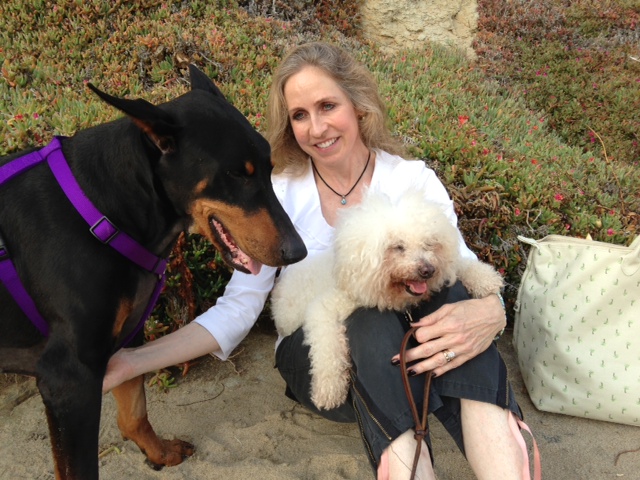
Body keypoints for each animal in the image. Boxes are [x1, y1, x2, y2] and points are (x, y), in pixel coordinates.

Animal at [270, 188, 504, 408]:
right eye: (398, 247)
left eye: (429, 244)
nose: (428, 270)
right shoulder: (325, 308)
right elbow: (328, 348)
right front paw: (329, 389)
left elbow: (458, 265)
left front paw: (486, 279)